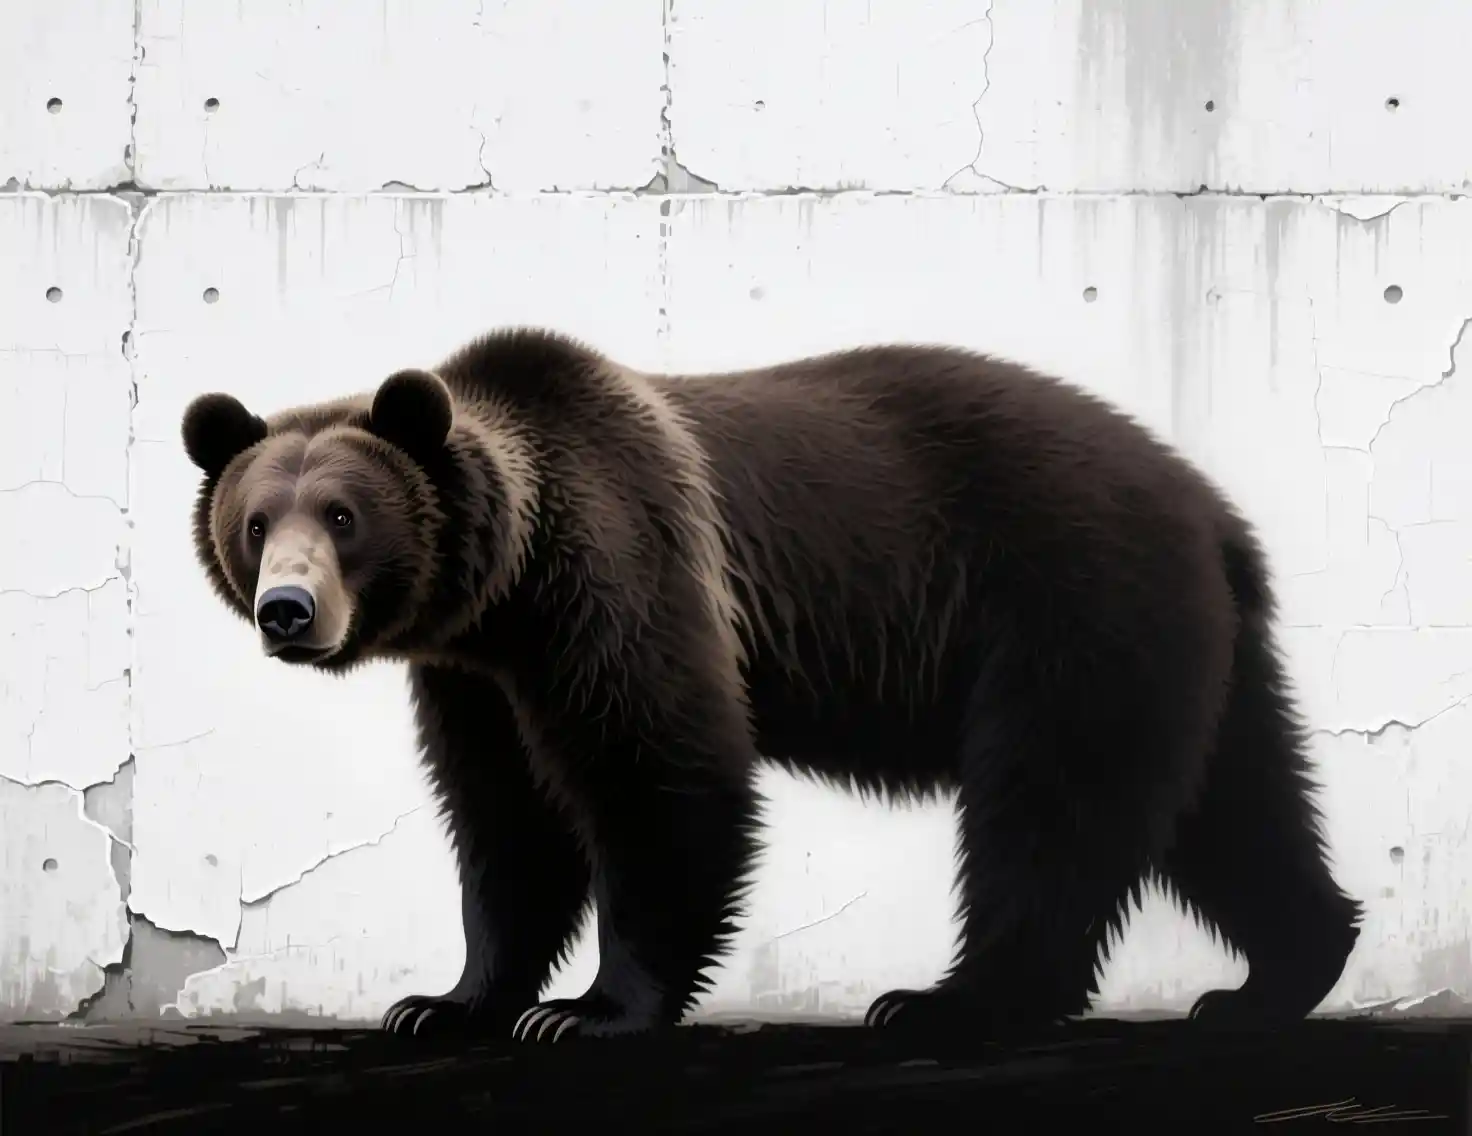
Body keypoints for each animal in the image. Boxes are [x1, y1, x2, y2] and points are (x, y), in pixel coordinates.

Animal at [180, 326, 1362, 1044]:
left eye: (343, 515)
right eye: (255, 522)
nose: (289, 610)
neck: (507, 583)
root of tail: (1210, 506)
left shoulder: (620, 570)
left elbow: (658, 770)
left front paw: (590, 1010)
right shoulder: (476, 674)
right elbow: (504, 819)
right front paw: (445, 1000)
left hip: (1068, 596)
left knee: (1051, 802)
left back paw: (949, 1000)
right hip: (1188, 644)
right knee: (1234, 802)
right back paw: (1273, 976)